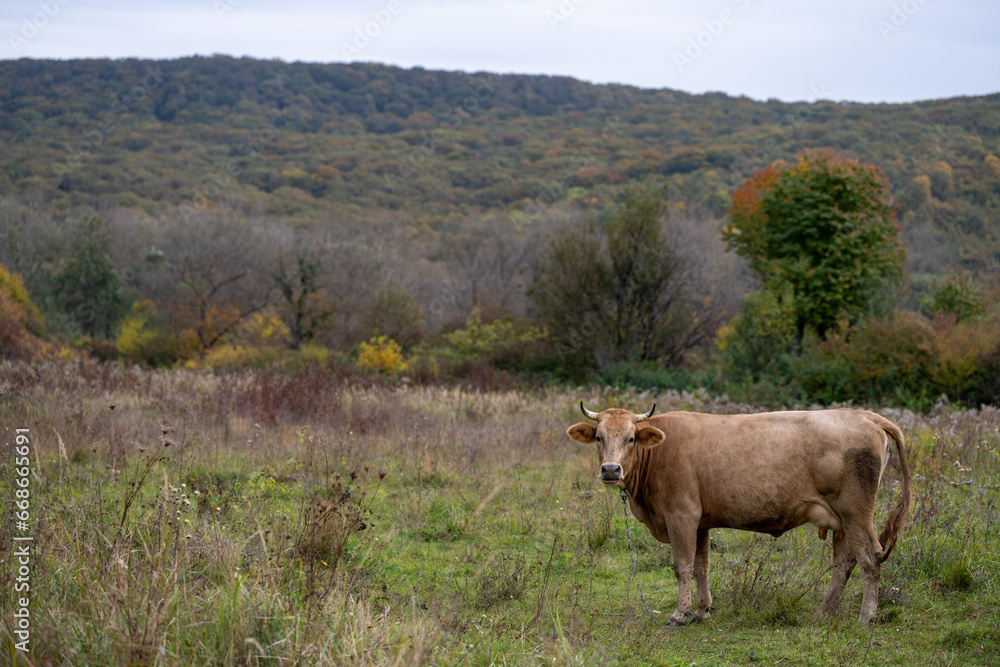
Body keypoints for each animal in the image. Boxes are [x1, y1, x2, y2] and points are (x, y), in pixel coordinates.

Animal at [567, 402, 911, 624]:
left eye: (631, 438)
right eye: (598, 437)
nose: (611, 470)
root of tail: (866, 416)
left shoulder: (681, 516)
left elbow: (682, 566)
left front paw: (680, 614)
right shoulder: (700, 523)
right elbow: (701, 567)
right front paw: (702, 610)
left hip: (855, 513)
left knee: (870, 557)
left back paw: (866, 616)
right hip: (841, 520)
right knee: (844, 564)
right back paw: (823, 612)